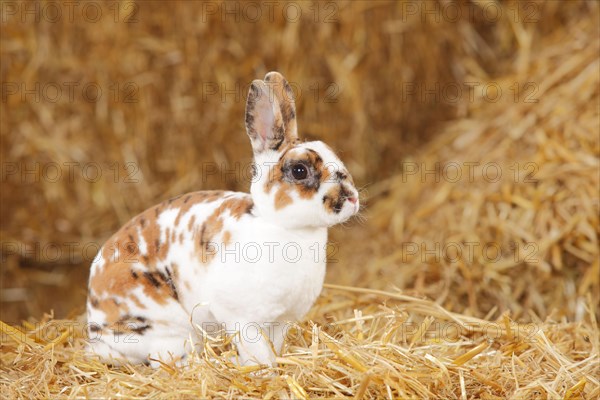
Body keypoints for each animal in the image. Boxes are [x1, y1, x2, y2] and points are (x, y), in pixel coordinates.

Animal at [86, 72, 358, 368]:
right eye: (300, 171)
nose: (352, 198)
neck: (284, 227)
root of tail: (97, 333)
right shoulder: (242, 319)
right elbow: (257, 351)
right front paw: (260, 371)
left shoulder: (280, 322)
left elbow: (273, 347)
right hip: (170, 328)